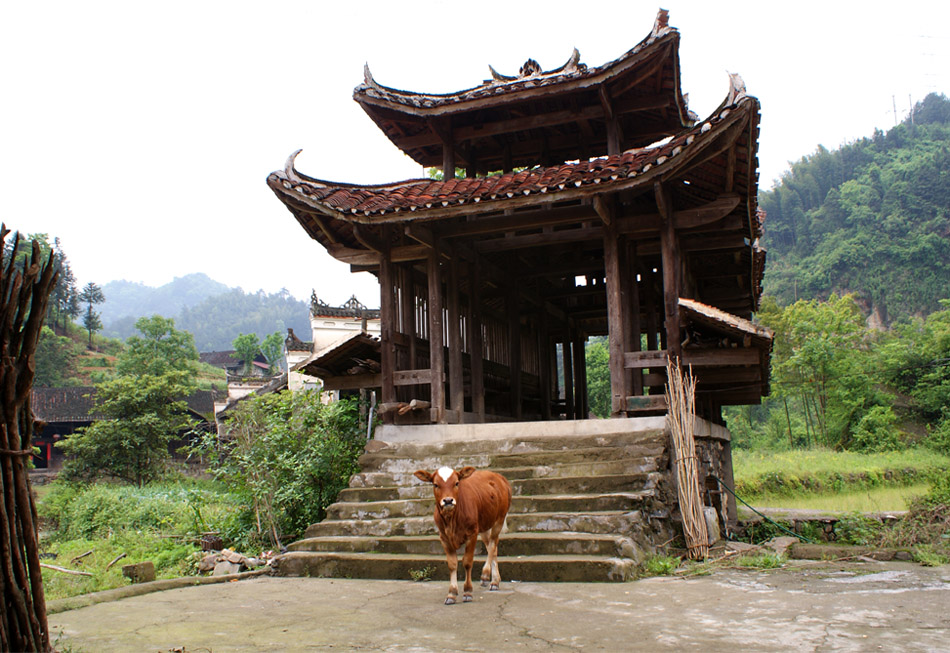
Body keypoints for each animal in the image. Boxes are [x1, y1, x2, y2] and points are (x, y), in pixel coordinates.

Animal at [410, 466, 510, 604]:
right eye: (435, 484)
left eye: (456, 483)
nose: (448, 500)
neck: (451, 520)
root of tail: (499, 477)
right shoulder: (444, 537)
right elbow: (452, 564)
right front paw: (452, 593)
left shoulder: (472, 533)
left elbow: (467, 562)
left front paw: (467, 591)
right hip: (484, 525)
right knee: (492, 547)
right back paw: (494, 581)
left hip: (499, 519)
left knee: (492, 545)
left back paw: (485, 575)